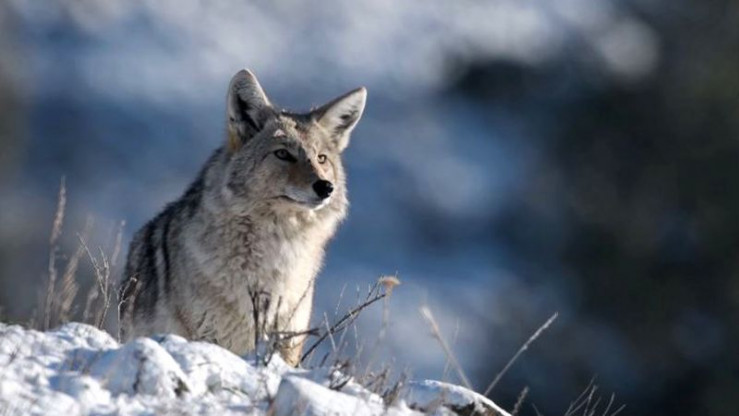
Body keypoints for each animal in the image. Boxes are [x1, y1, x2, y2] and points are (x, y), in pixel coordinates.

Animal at [119, 69, 366, 366]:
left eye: (321, 158)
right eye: (283, 154)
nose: (325, 187)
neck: (279, 250)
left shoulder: (287, 341)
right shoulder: (207, 335)